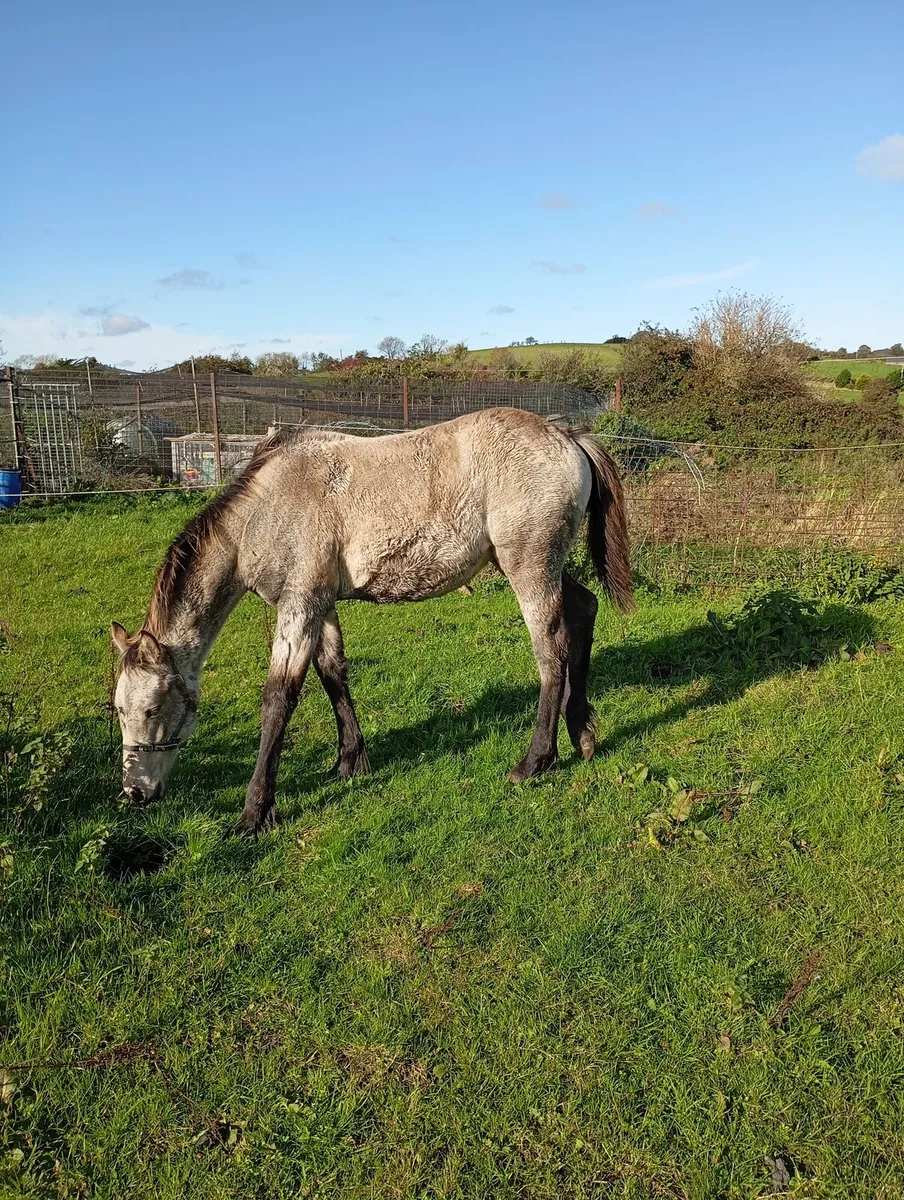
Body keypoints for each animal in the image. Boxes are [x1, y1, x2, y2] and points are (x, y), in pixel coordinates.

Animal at [111, 407, 633, 835]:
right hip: (536, 566)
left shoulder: (298, 606)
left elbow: (279, 699)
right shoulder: (320, 606)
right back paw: (582, 731)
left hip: (529, 567)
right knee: (584, 611)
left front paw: (255, 813)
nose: (135, 793)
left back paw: (535, 761)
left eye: (152, 709)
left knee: (551, 652)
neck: (267, 508)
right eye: (118, 709)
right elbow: (333, 675)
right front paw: (350, 761)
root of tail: (568, 436)